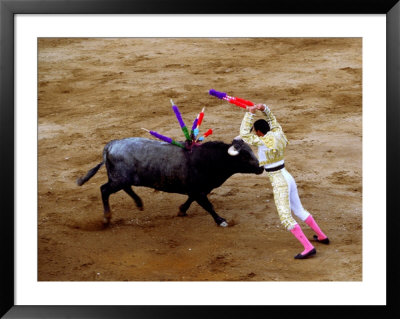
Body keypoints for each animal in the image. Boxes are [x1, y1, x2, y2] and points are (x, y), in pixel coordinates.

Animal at [76, 138, 264, 228]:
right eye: (245, 156)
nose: (261, 167)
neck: (210, 159)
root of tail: (110, 146)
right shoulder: (198, 190)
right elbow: (208, 205)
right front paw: (221, 221)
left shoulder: (196, 190)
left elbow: (191, 200)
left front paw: (181, 210)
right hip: (118, 179)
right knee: (104, 190)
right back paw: (106, 218)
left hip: (121, 179)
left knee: (125, 188)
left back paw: (139, 203)